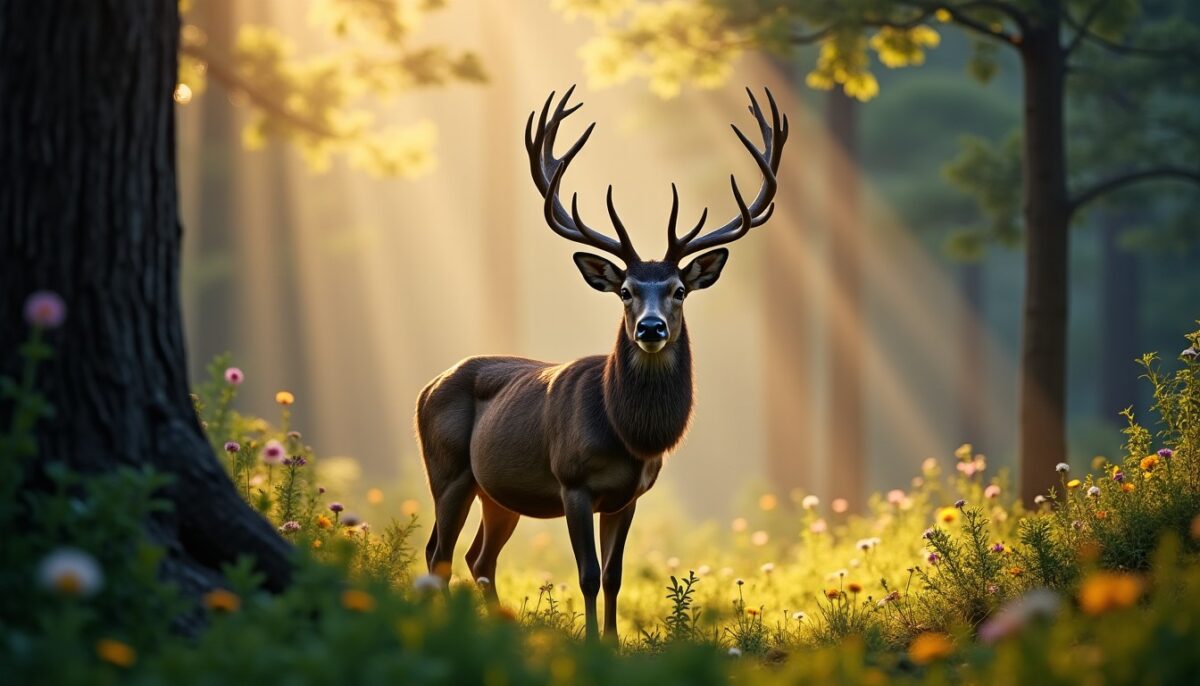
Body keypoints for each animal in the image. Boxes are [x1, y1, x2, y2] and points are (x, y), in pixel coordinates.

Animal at [415, 85, 787, 640]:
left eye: (678, 290)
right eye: (626, 291)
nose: (650, 328)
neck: (627, 432)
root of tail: (426, 387)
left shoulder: (629, 494)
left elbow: (614, 575)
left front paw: (613, 642)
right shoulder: (573, 481)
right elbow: (588, 574)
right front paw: (591, 643)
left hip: (497, 492)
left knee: (478, 558)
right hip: (448, 468)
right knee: (438, 553)